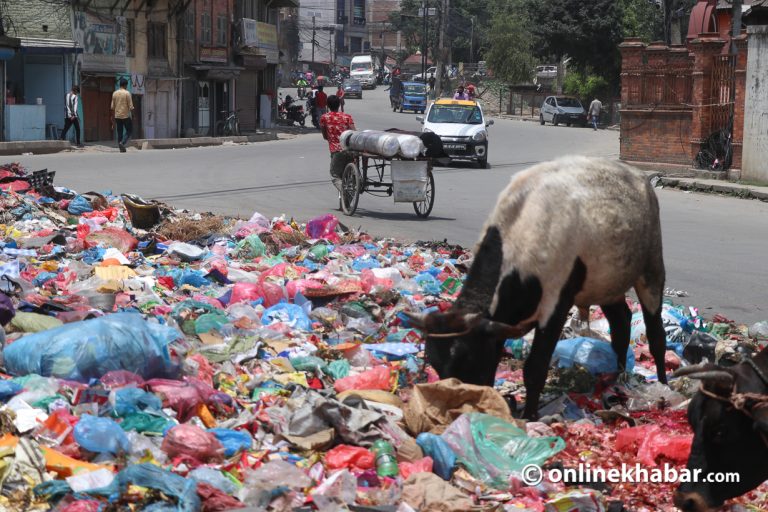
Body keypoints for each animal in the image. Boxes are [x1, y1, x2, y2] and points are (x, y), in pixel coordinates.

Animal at [404, 157, 668, 420]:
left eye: (468, 361)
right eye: (437, 366)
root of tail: (639, 177)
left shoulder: (555, 304)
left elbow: (535, 368)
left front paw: (529, 416)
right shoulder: (499, 324)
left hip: (652, 268)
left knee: (656, 335)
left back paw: (662, 384)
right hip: (606, 283)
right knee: (621, 324)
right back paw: (616, 378)